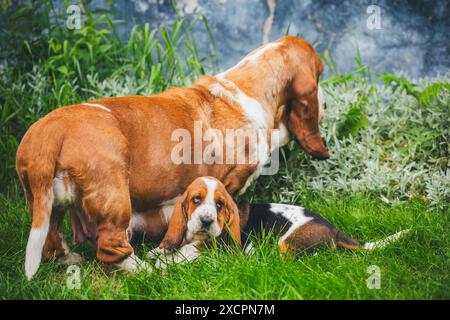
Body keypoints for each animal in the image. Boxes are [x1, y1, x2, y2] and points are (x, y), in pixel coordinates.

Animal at [15, 36, 328, 278]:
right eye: (320, 74)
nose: (325, 103)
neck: (246, 89)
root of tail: (51, 131)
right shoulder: (231, 183)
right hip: (114, 198)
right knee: (111, 247)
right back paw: (145, 270)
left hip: (46, 202)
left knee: (51, 241)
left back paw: (70, 259)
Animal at [144, 176, 408, 268]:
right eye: (196, 199)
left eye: (220, 204)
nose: (207, 221)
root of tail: (333, 229)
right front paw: (158, 253)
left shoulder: (216, 246)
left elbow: (193, 249)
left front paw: (174, 258)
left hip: (287, 243)